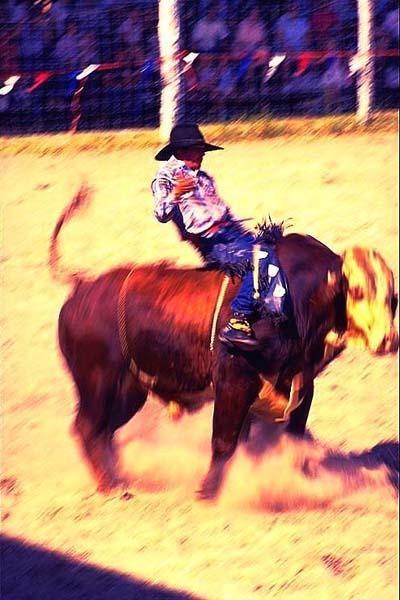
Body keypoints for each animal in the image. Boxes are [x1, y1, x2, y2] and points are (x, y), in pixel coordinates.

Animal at [51, 186, 398, 496]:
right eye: (357, 291)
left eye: (393, 298)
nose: (388, 340)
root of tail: (83, 285)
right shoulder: (233, 383)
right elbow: (224, 442)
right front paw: (208, 492)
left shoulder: (300, 386)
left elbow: (285, 441)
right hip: (97, 380)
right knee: (89, 426)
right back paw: (112, 484)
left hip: (131, 388)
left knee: (106, 429)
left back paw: (119, 475)